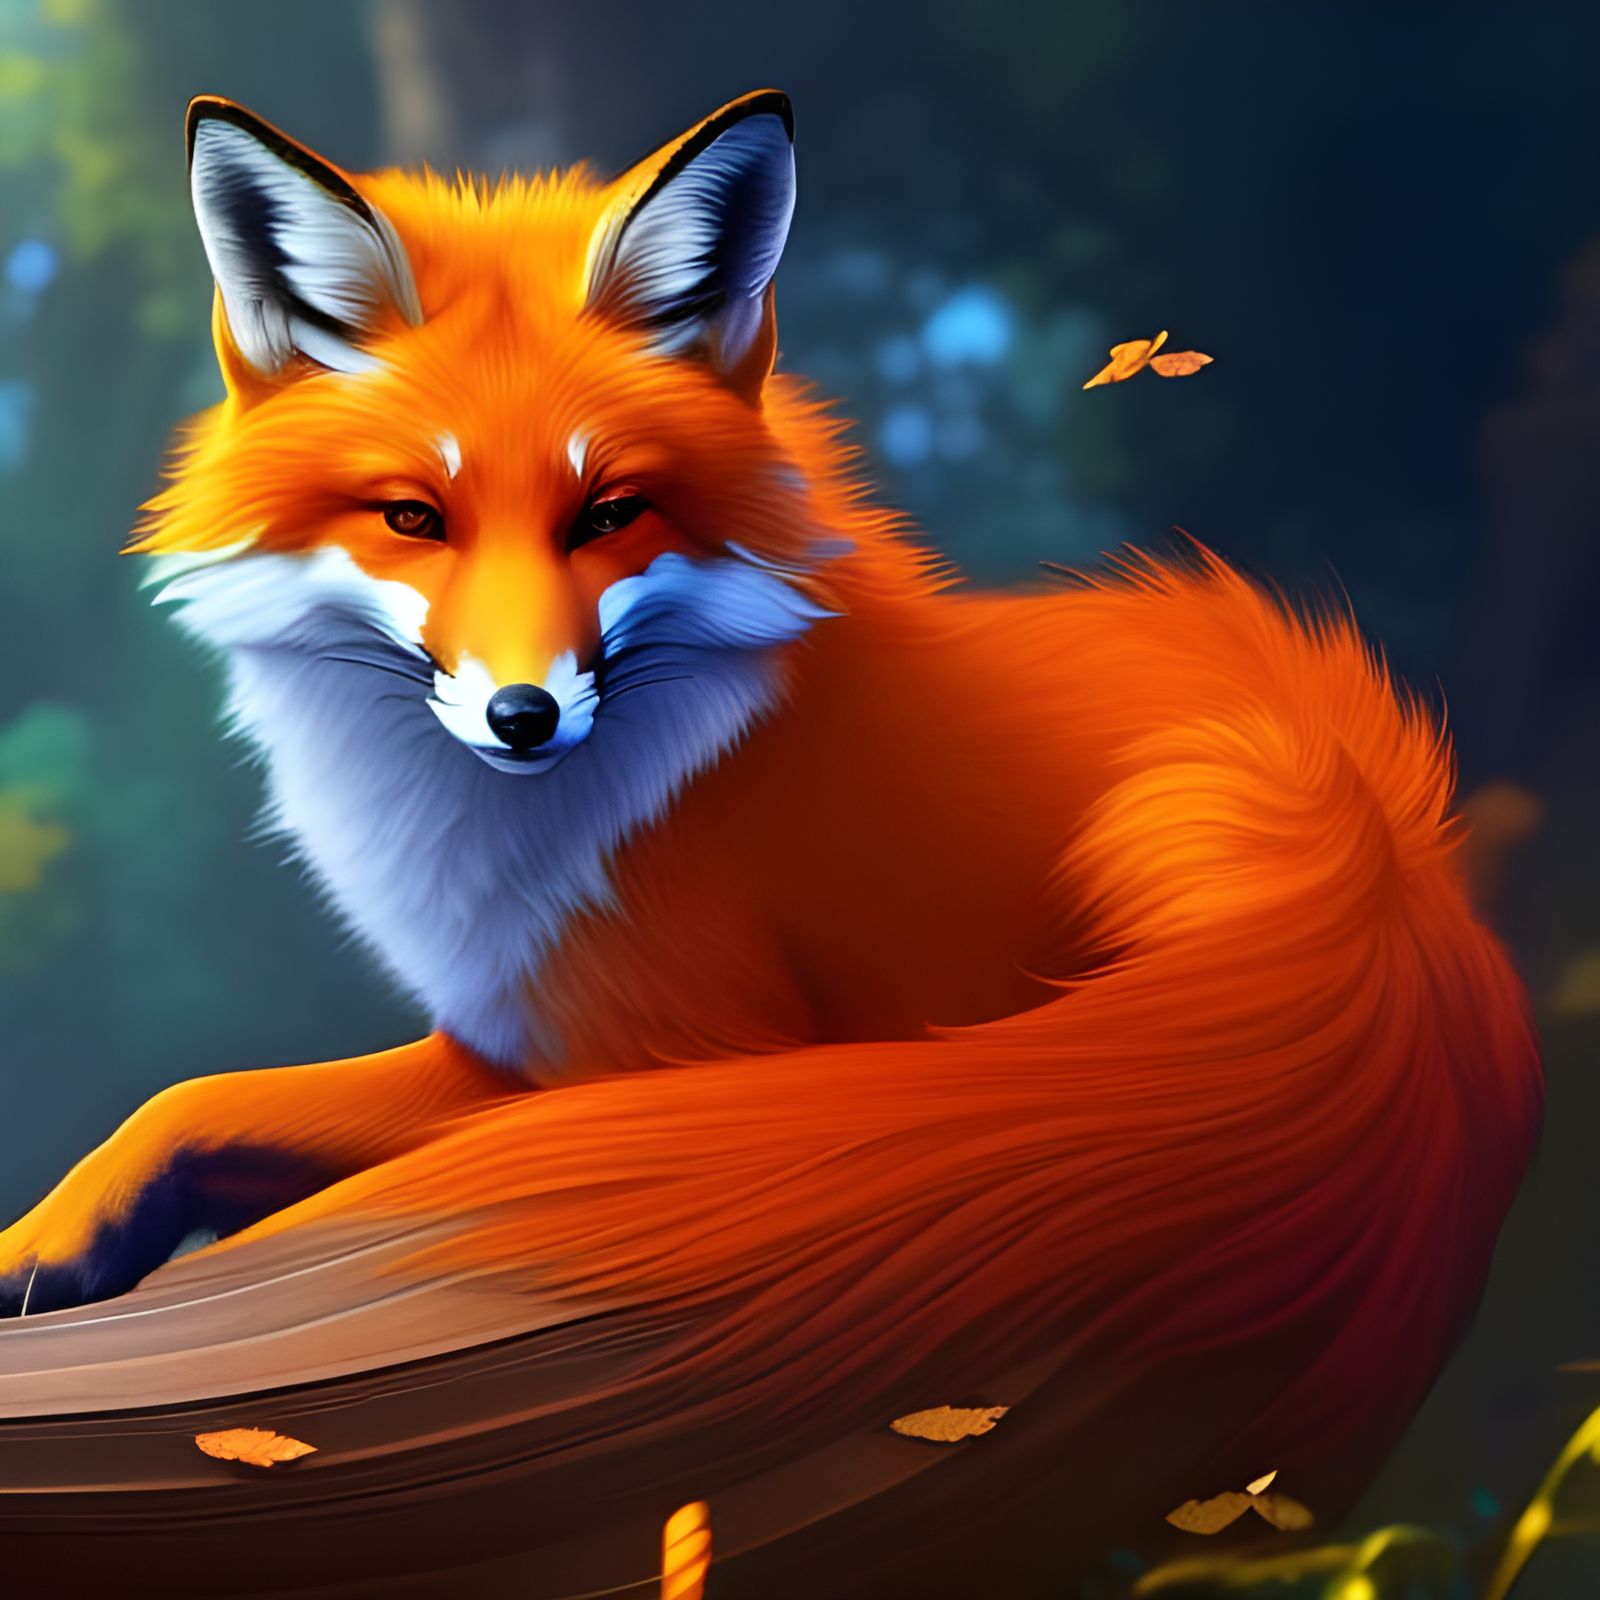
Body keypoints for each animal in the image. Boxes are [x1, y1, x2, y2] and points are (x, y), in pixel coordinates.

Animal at [0, 91, 1540, 1597]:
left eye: (609, 513)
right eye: (412, 517)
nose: (522, 714)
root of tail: (1375, 840)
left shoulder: (671, 1059)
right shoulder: (507, 1049)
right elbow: (192, 1099)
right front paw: (53, 1241)